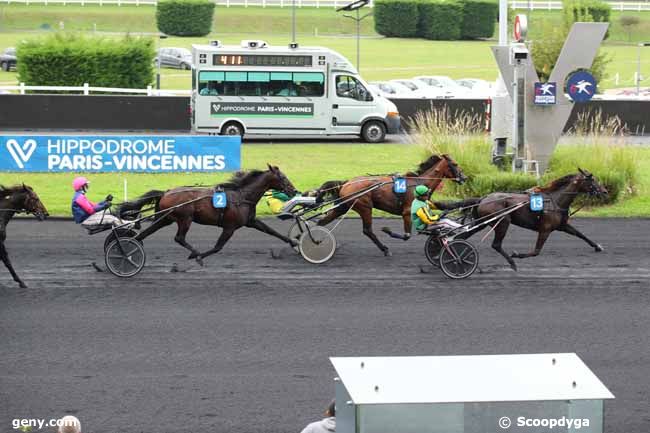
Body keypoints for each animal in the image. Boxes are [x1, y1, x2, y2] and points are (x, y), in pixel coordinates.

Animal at [316, 154, 464, 255]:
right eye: (455, 164)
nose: (464, 178)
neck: (419, 183)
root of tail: (346, 183)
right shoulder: (407, 212)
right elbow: (407, 235)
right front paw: (387, 230)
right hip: (365, 207)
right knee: (367, 230)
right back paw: (385, 249)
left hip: (343, 207)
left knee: (322, 222)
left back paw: (317, 241)